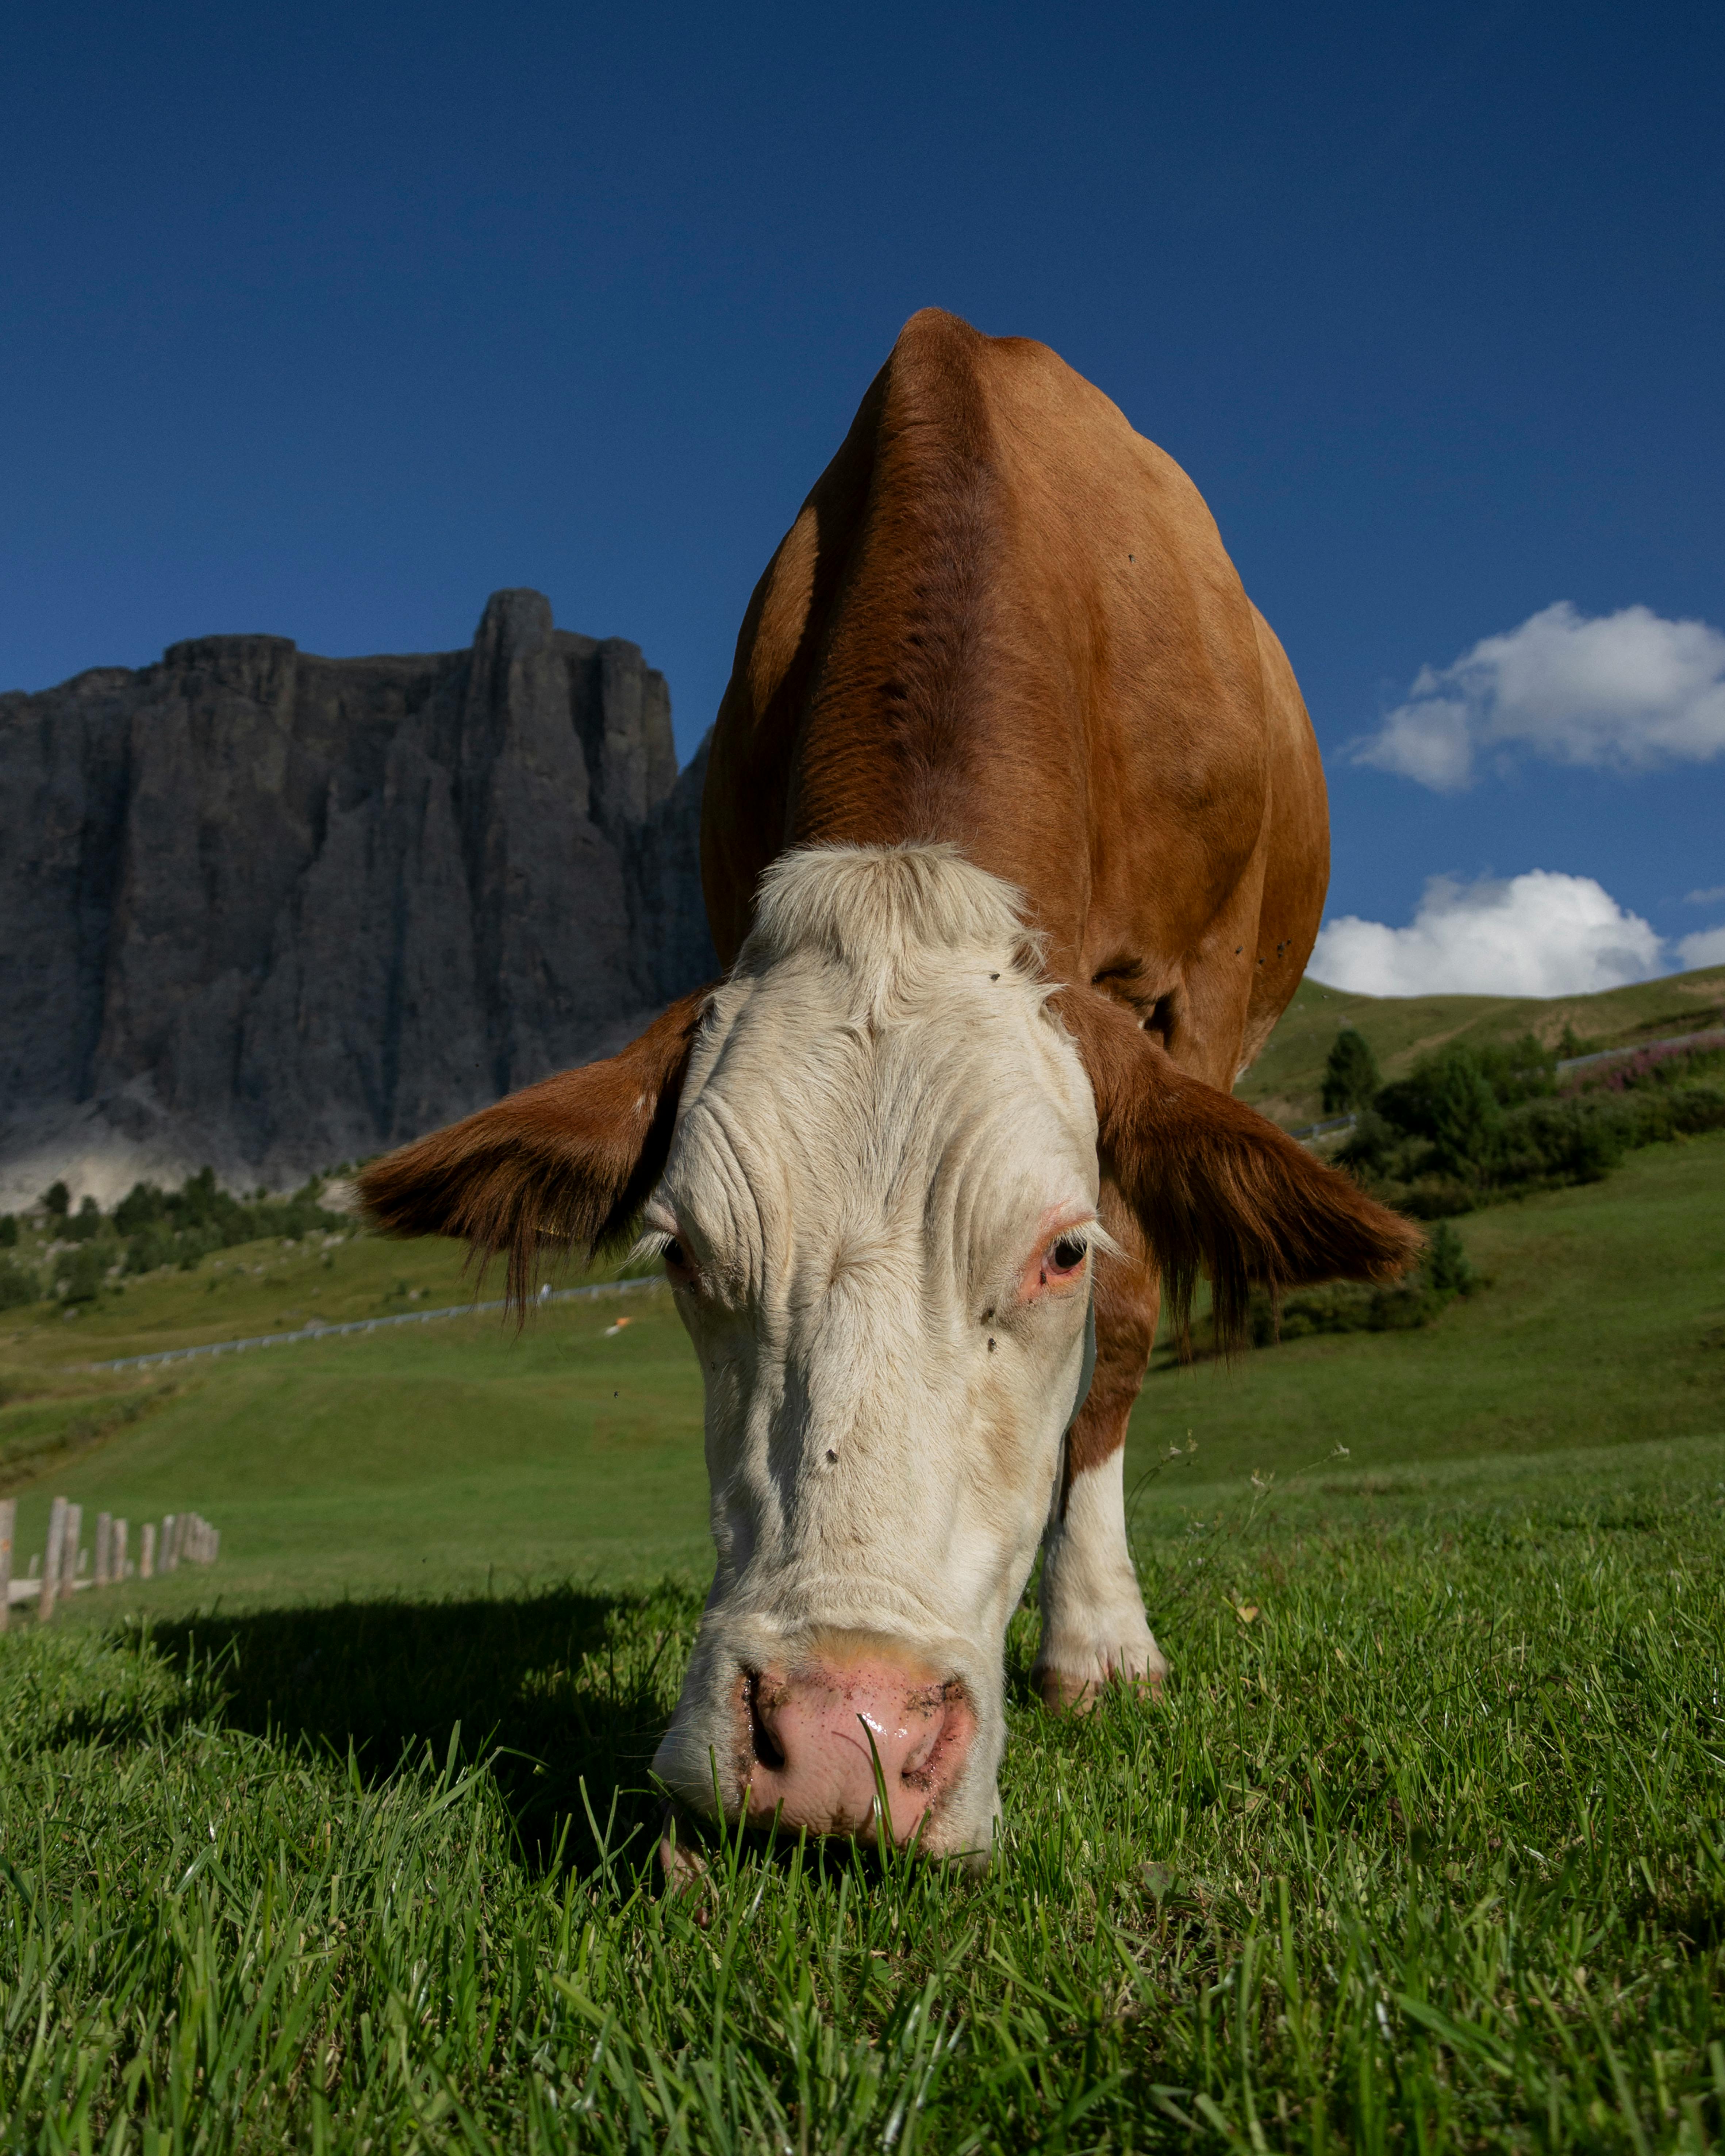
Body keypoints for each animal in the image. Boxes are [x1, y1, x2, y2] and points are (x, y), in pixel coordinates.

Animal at [359, 308, 1420, 1869]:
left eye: (1057, 1252)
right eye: (680, 1253)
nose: (835, 1745)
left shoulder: (1199, 992)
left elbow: (1131, 1319)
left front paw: (1096, 1640)